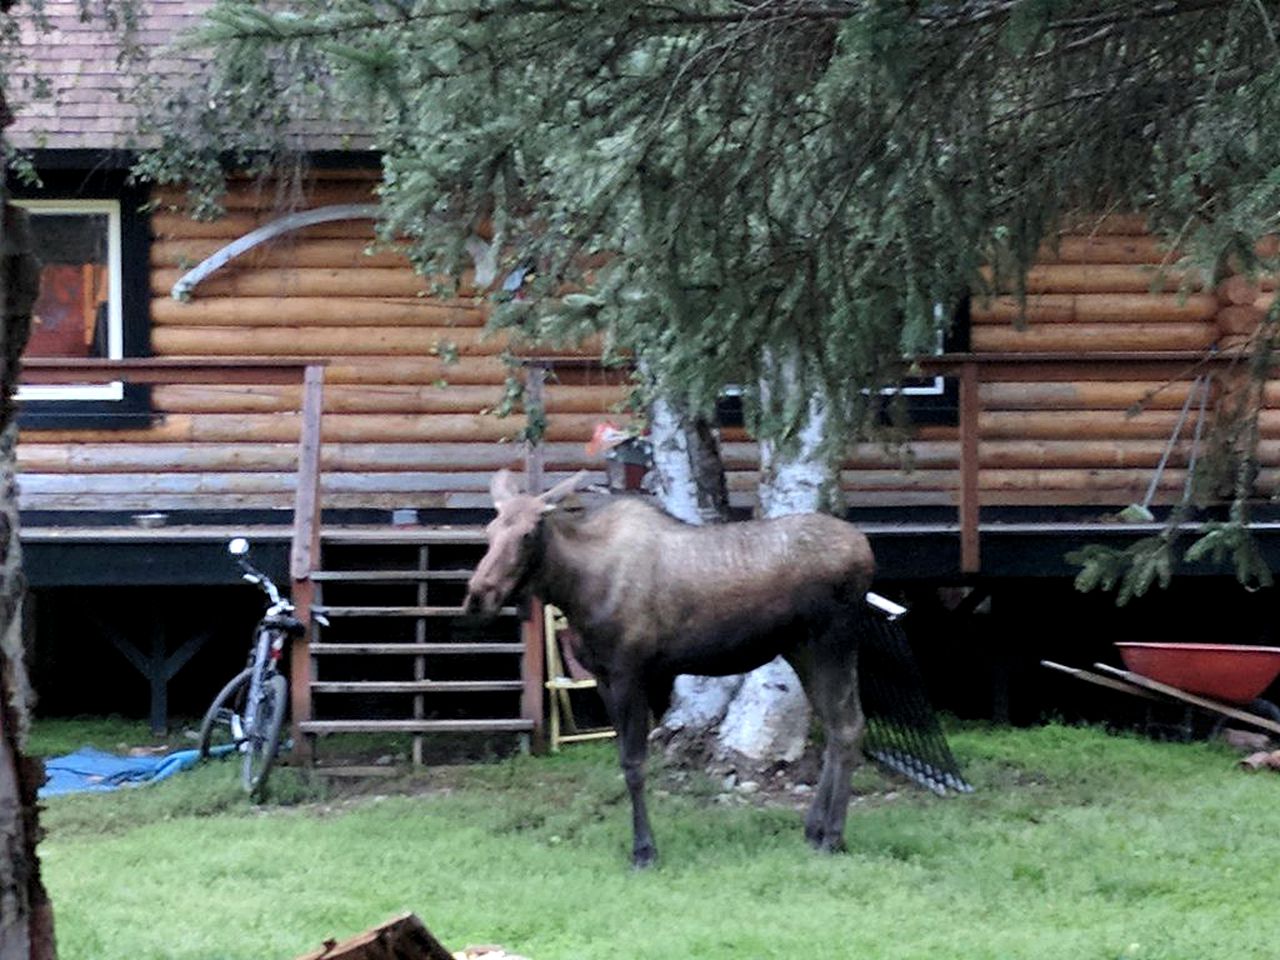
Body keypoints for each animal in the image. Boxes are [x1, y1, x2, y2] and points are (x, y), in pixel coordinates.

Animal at [465, 471, 875, 870]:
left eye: (529, 533)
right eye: (490, 530)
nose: (478, 596)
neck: (574, 589)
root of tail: (867, 553)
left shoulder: (630, 672)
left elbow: (633, 764)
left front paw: (644, 851)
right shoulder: (601, 675)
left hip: (832, 642)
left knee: (848, 726)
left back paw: (832, 836)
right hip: (800, 649)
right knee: (837, 727)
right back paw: (815, 829)